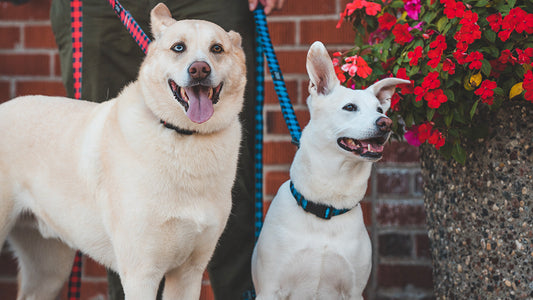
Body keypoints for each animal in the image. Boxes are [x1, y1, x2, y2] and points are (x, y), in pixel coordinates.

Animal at [0, 3, 246, 298]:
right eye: (178, 47)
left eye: (217, 49)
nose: (200, 69)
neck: (184, 135)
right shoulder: (141, 274)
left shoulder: (189, 273)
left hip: (49, 269)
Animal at [250, 41, 408, 298]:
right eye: (350, 107)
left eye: (379, 110)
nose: (386, 123)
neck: (327, 205)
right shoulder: (269, 289)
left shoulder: (354, 291)